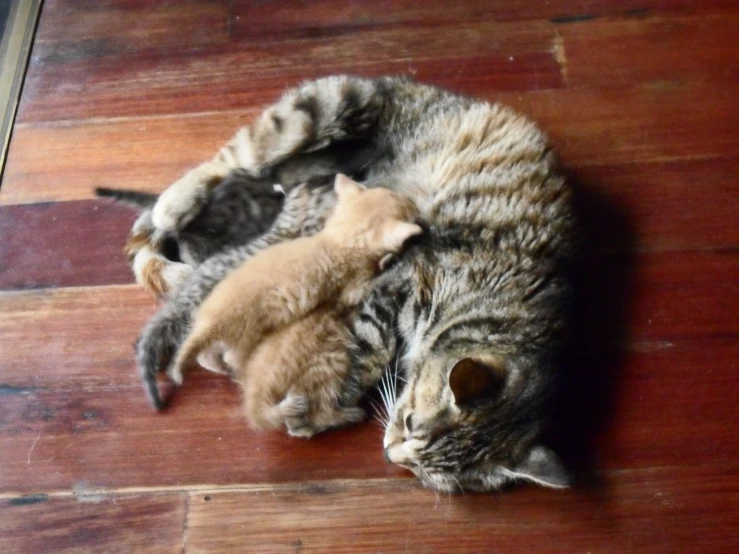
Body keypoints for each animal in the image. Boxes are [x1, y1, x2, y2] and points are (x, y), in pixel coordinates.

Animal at [169, 172, 422, 436]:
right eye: (409, 207)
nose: (413, 202)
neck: (336, 238)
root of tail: (211, 322)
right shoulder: (355, 288)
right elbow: (374, 278)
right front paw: (391, 261)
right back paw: (348, 415)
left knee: (204, 356)